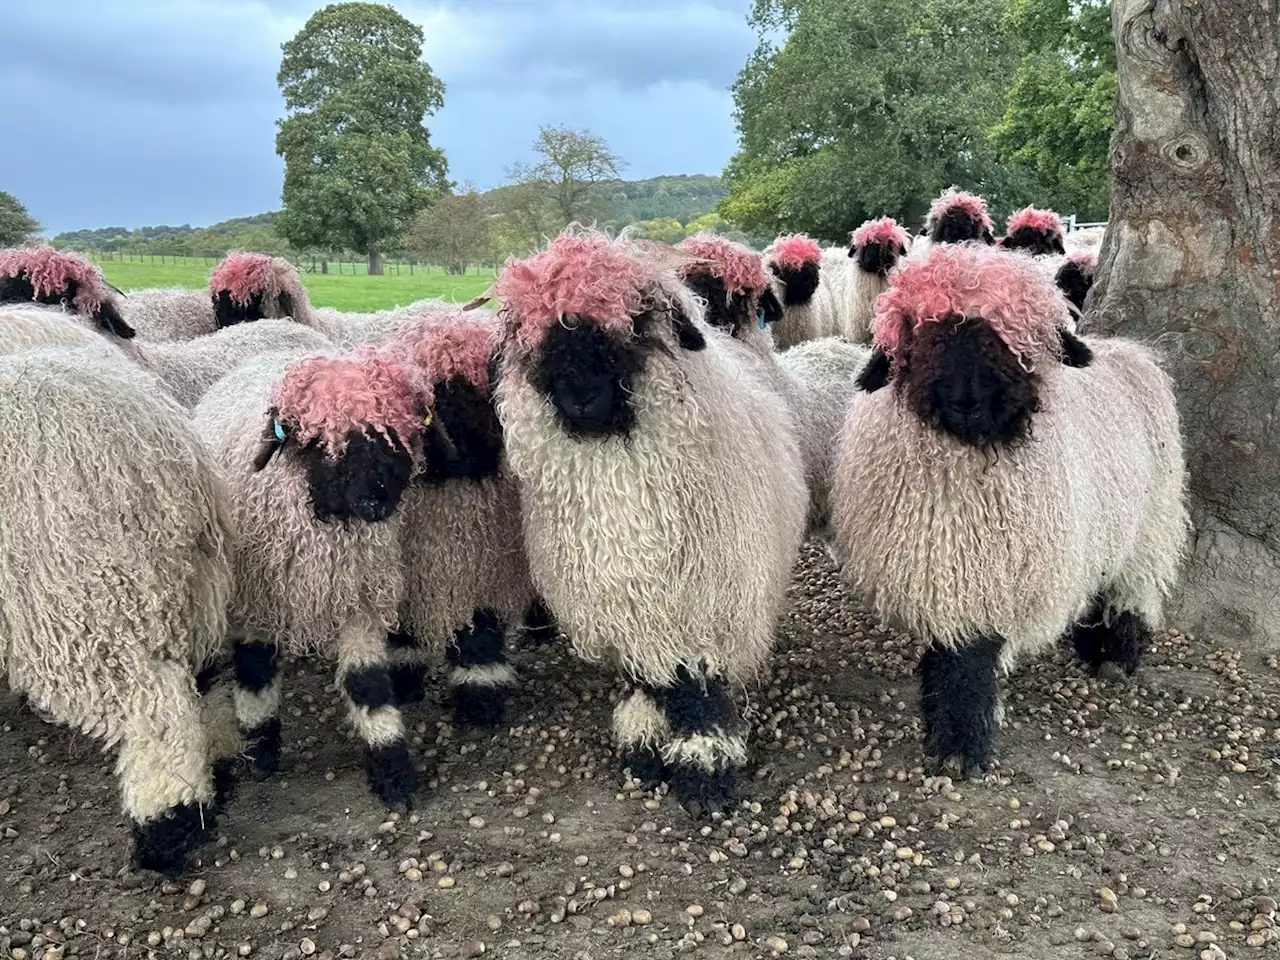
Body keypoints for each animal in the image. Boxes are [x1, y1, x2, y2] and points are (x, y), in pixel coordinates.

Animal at [491, 229, 803, 814]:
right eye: (535, 334)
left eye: (635, 322)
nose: (581, 396)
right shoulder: (621, 595)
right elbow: (648, 673)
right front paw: (644, 733)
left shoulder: (706, 597)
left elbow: (697, 683)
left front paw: (704, 763)